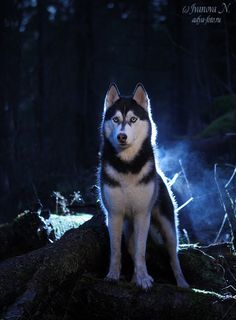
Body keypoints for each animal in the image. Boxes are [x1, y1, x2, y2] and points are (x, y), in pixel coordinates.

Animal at [97, 82, 188, 290]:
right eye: (115, 119)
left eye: (133, 119)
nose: (122, 136)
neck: (127, 166)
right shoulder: (114, 214)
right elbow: (116, 250)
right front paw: (113, 275)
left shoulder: (142, 214)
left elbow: (141, 251)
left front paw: (144, 279)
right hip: (127, 228)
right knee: (130, 247)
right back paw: (132, 278)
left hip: (168, 228)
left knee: (173, 257)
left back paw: (182, 283)